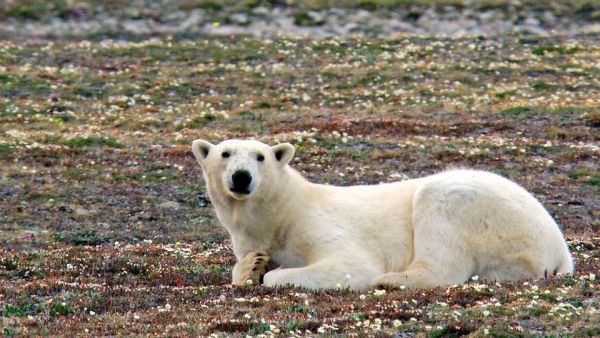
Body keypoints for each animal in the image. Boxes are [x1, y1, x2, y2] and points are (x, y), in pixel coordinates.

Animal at [191, 139, 572, 290]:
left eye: (260, 157)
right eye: (225, 153)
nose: (242, 177)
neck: (283, 211)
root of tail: (560, 249)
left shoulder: (317, 222)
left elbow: (352, 264)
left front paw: (271, 273)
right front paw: (253, 265)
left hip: (485, 211)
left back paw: (391, 279)